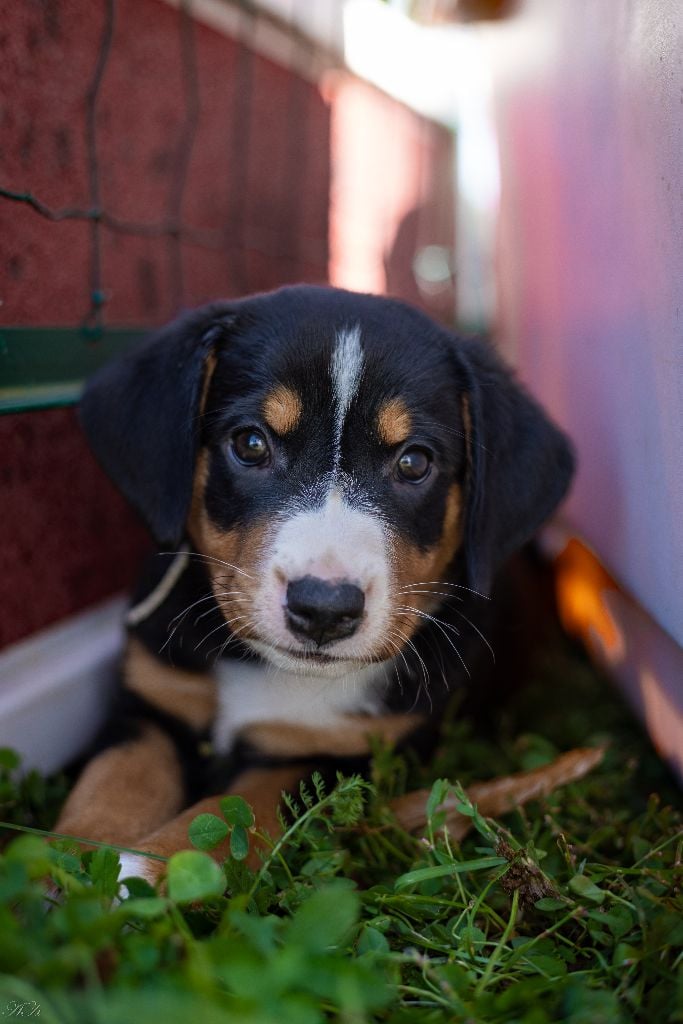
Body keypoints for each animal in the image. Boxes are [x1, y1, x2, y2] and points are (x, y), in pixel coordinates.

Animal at [56, 286, 573, 880]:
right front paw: (67, 866)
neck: (275, 674)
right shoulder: (151, 702)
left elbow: (233, 811)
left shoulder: (337, 753)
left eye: (414, 462)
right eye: (251, 444)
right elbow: (113, 780)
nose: (324, 609)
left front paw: (148, 868)